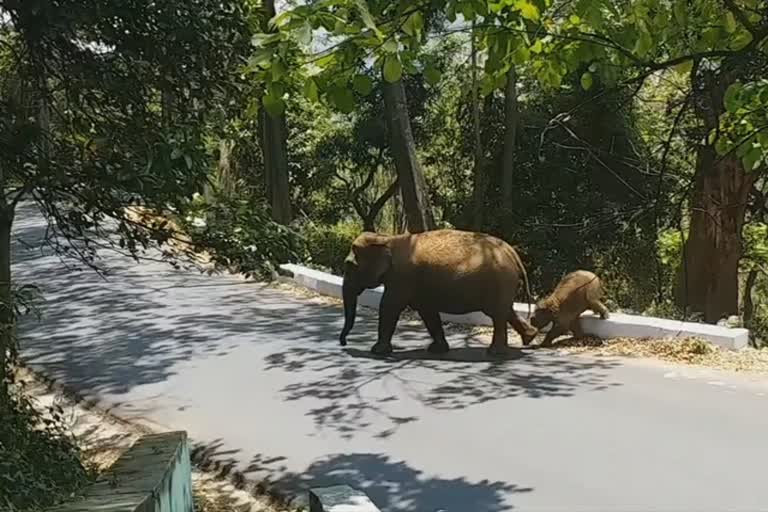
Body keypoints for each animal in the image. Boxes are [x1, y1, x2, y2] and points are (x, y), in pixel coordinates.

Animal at [340, 230, 536, 358]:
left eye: (349, 266)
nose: (343, 343)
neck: (387, 238)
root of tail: (513, 253)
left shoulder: (402, 278)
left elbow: (389, 306)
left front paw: (377, 351)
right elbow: (427, 310)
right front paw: (437, 349)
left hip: (500, 281)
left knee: (498, 314)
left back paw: (495, 353)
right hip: (503, 284)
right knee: (505, 311)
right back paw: (529, 338)